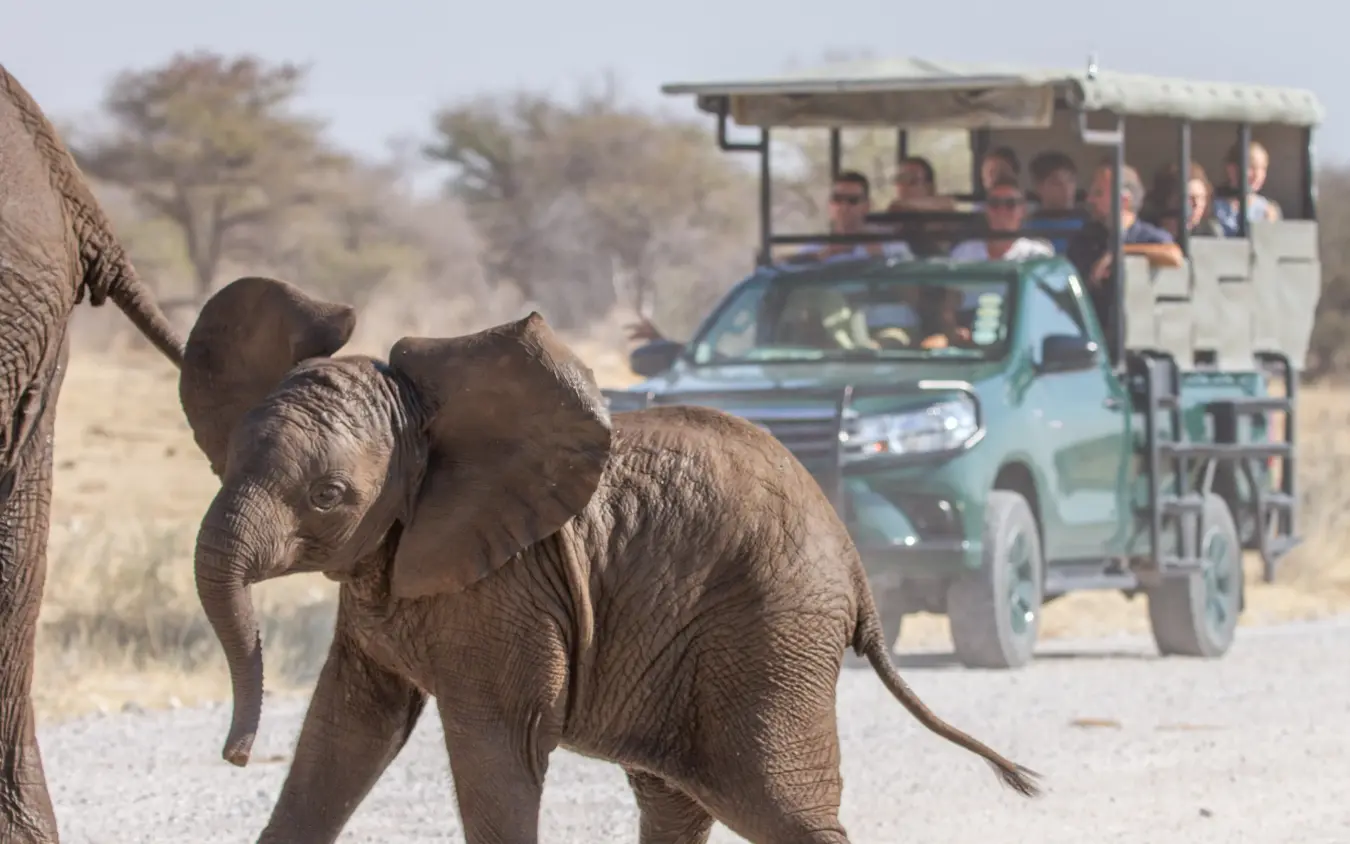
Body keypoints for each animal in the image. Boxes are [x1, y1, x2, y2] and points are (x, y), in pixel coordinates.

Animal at [179, 275, 1040, 843]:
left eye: (329, 495)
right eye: (228, 462)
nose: (235, 753)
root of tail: (858, 569)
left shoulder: (511, 592)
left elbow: (497, 752)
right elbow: (344, 734)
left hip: (774, 630)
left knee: (781, 804)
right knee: (675, 801)